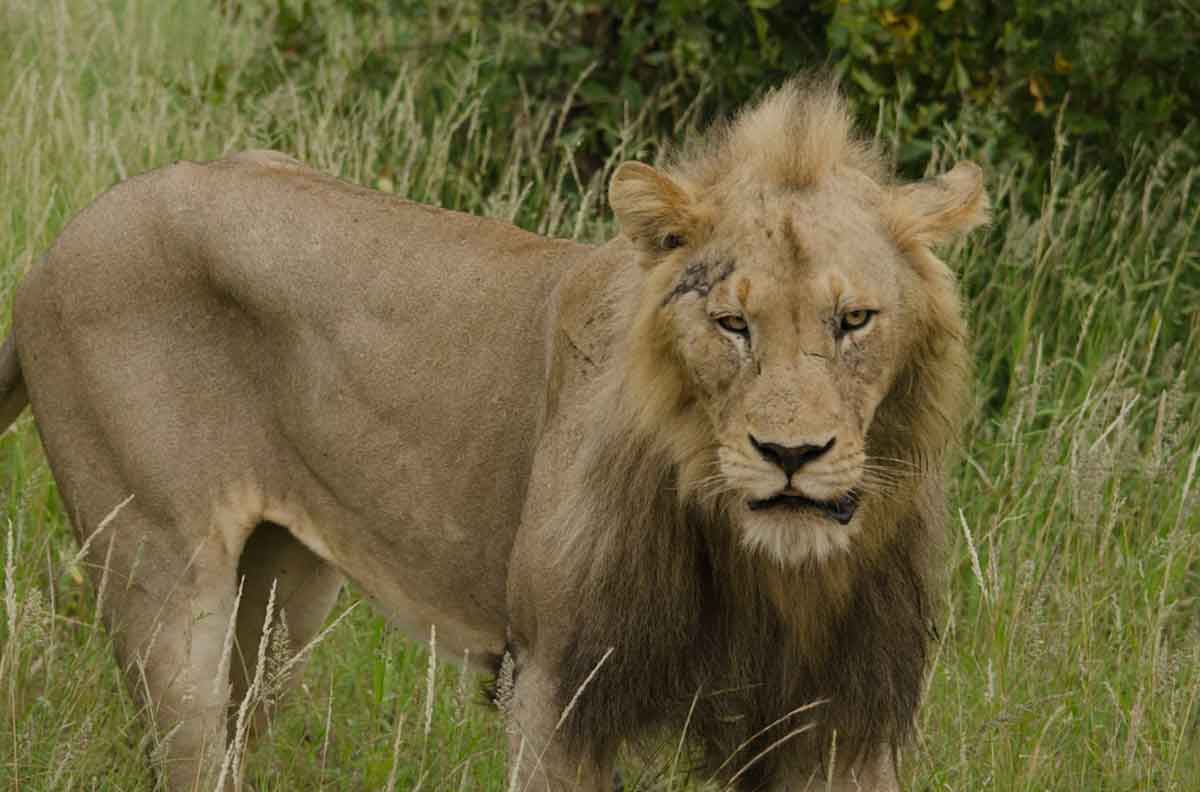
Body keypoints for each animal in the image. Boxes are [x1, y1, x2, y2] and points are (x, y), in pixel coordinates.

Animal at [0, 80, 986, 790]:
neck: (763, 571)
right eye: (731, 324)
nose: (789, 457)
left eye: (854, 321)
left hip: (281, 600)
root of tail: (55, 249)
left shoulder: (840, 717)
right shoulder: (554, 687)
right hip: (160, 575)